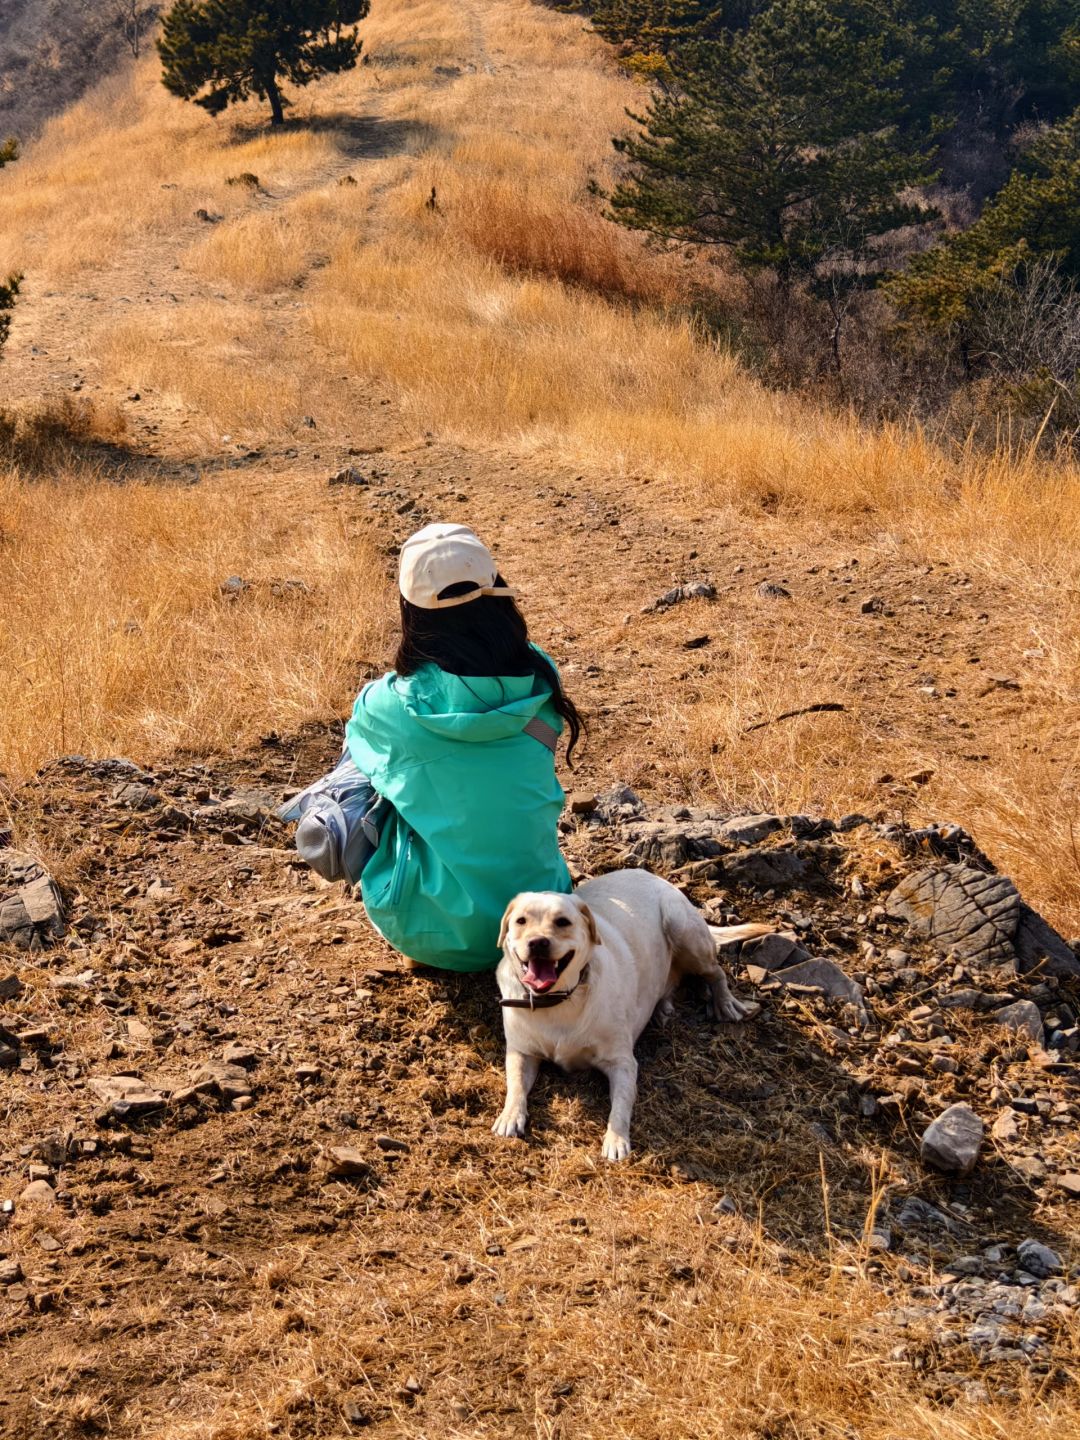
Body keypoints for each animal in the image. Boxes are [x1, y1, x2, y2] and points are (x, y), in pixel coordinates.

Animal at [492, 869, 770, 1161]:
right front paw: (509, 1116)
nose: (537, 943)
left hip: (683, 929)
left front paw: (616, 1139)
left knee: (714, 972)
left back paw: (724, 1002)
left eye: (562, 922)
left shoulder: (622, 1062)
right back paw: (663, 1008)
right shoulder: (521, 1053)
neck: (559, 1000)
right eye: (521, 921)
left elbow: (621, 1105)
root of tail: (650, 874)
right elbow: (515, 1085)